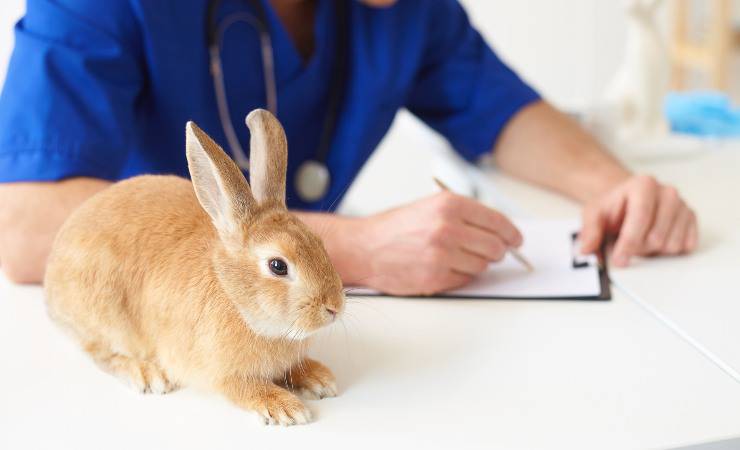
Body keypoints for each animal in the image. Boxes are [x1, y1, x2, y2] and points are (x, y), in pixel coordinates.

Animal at [44, 109, 345, 426]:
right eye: (278, 266)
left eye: (319, 243)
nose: (334, 307)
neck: (233, 296)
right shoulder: (222, 373)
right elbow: (245, 388)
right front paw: (286, 408)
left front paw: (320, 379)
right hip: (104, 314)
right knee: (102, 354)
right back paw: (146, 374)